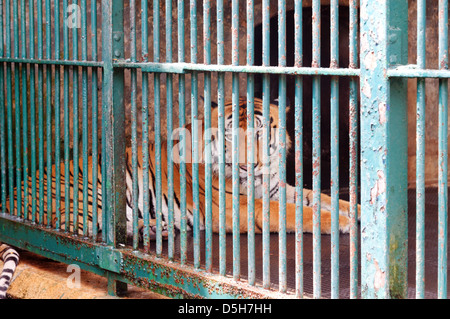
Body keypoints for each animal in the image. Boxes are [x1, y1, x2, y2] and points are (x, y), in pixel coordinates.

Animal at [1, 97, 356, 242]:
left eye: (258, 133)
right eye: (230, 136)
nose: (247, 164)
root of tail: (10, 197)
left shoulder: (277, 189)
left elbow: (322, 199)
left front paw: (357, 211)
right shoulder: (233, 206)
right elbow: (301, 213)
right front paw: (345, 224)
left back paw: (158, 229)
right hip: (92, 197)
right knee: (87, 232)